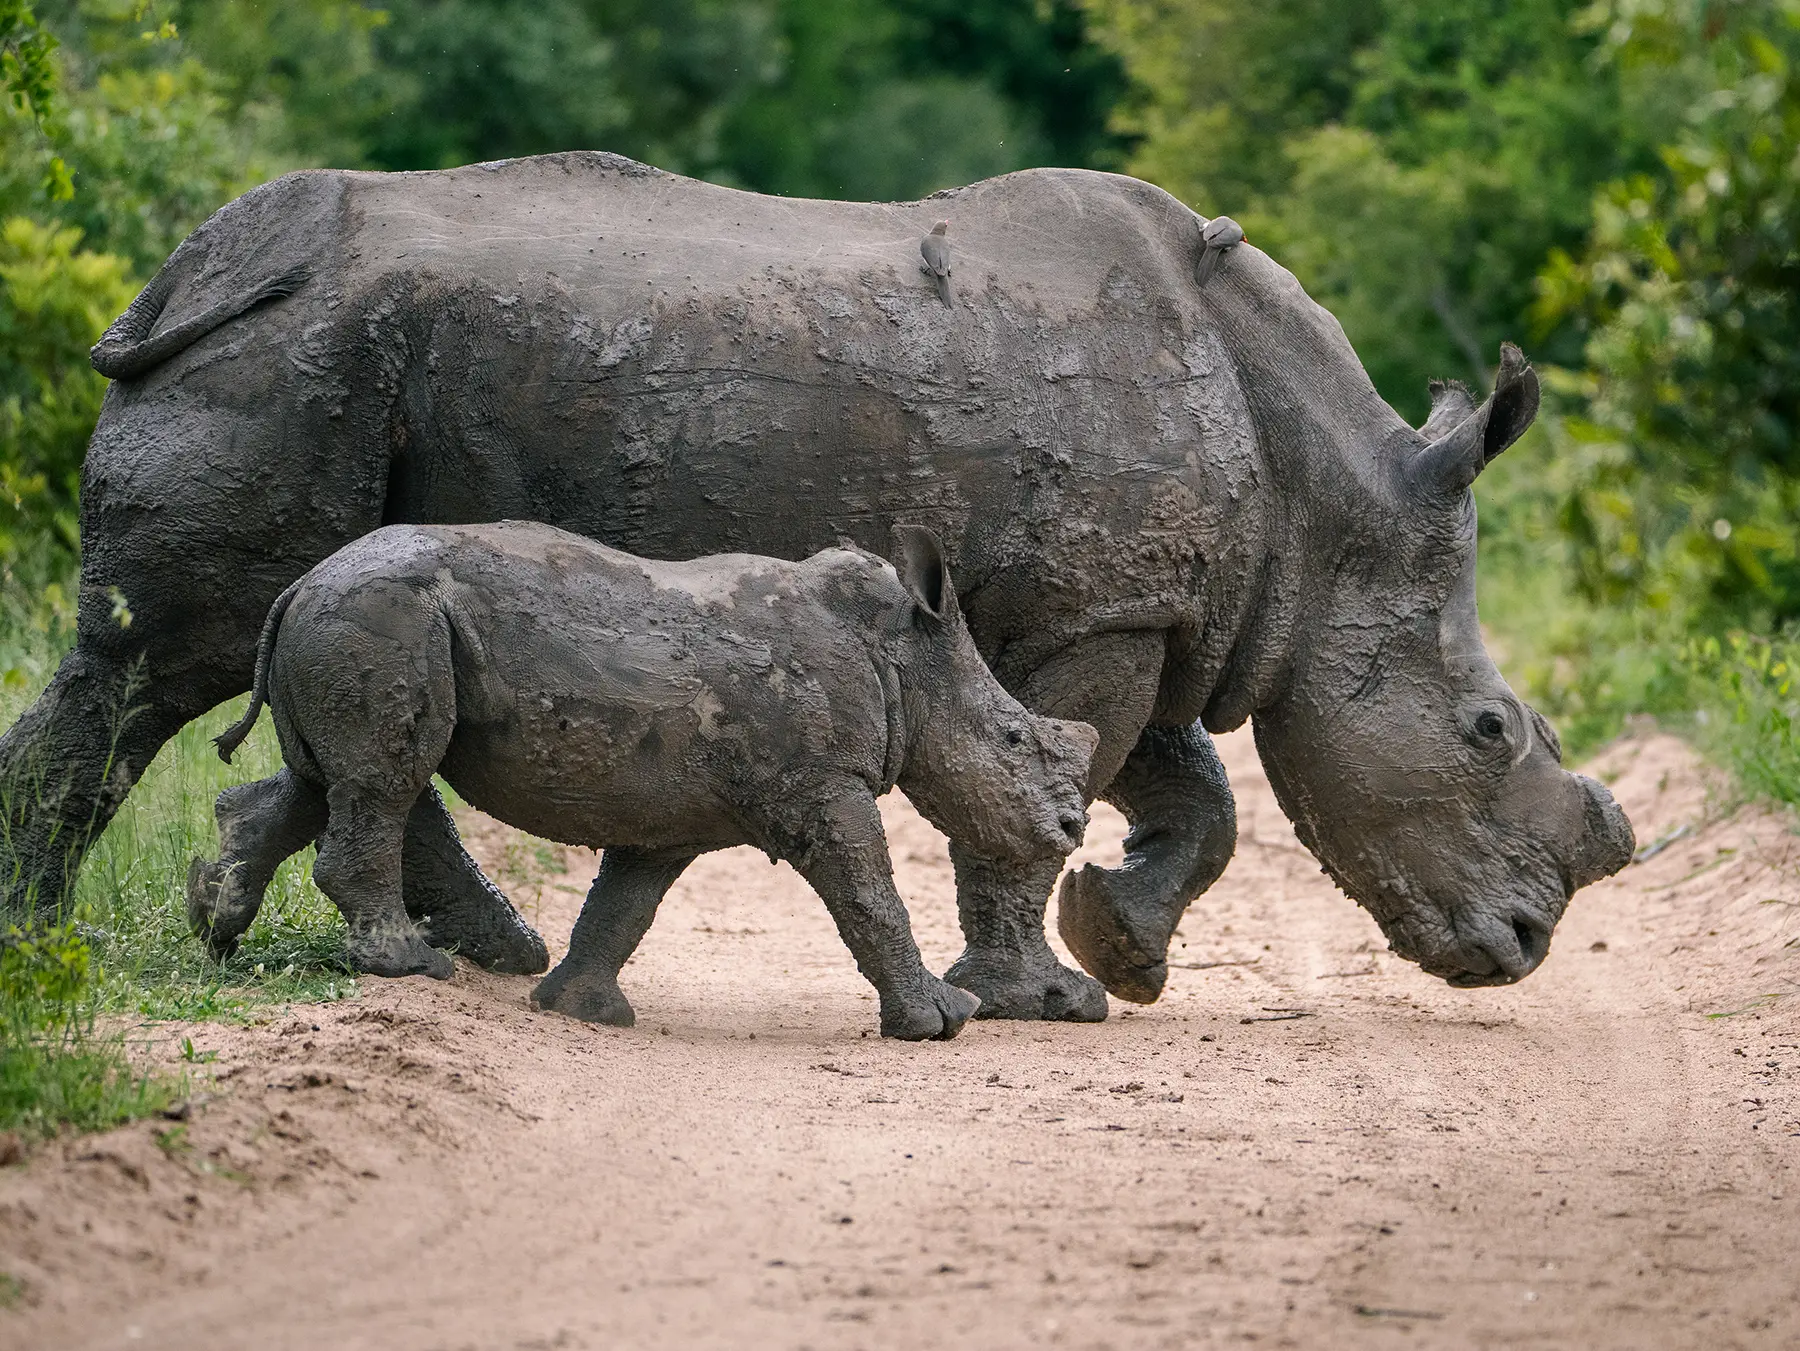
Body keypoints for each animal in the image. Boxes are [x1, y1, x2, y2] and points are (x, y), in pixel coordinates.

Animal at [187, 522, 1094, 1039]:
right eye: (1014, 739)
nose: (1073, 827)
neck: (904, 657)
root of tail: (299, 584)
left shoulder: (677, 812)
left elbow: (626, 902)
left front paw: (580, 1011)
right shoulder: (820, 785)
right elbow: (870, 892)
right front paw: (941, 1022)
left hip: (359, 618)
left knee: (325, 779)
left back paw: (216, 924)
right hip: (386, 618)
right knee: (383, 781)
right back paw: (410, 966)